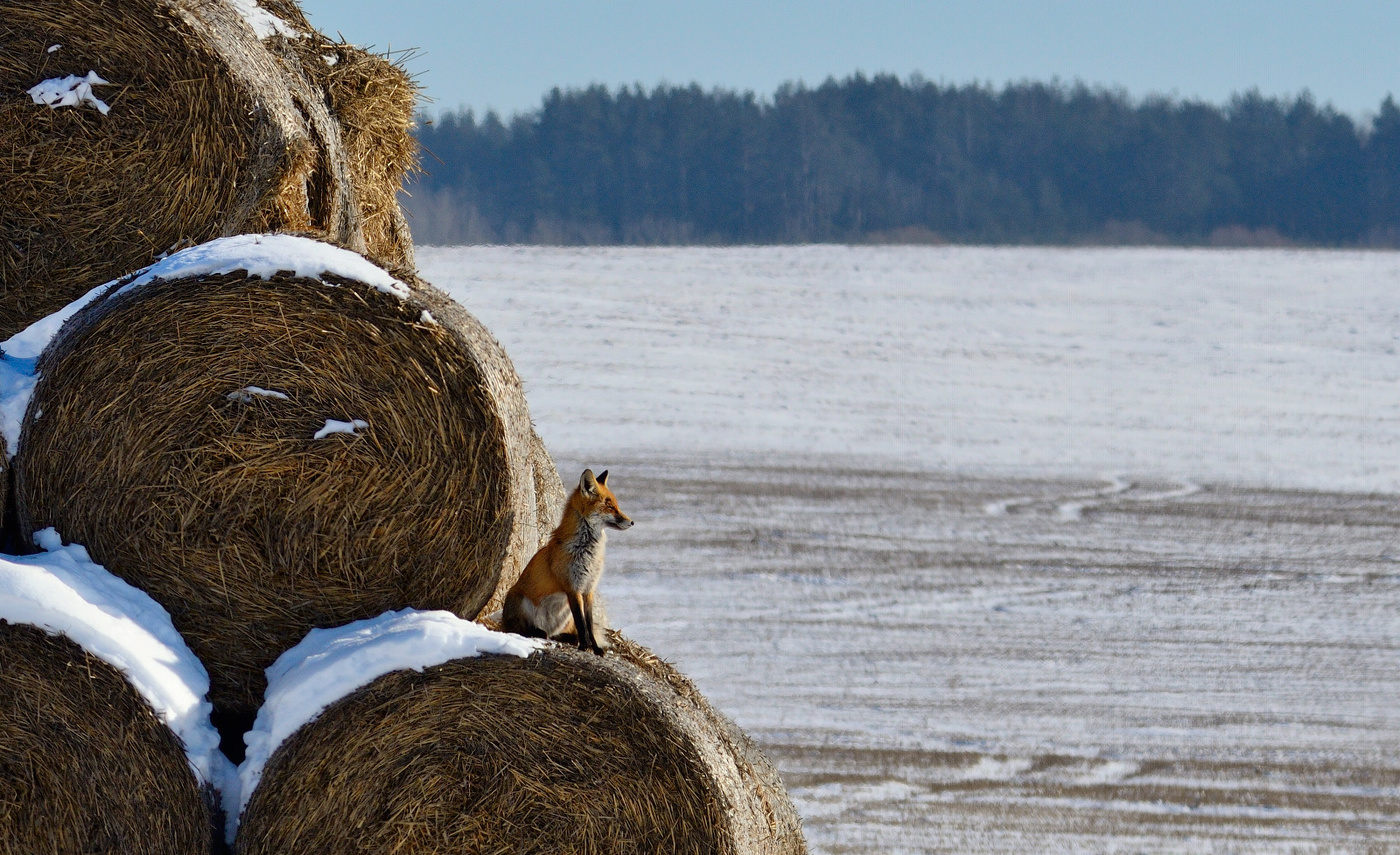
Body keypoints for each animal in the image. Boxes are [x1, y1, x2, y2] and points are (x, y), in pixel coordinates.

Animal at [504, 467, 635, 654]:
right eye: (610, 506)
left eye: (617, 505)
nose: (632, 522)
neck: (587, 552)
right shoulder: (572, 587)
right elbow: (581, 622)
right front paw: (584, 646)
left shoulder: (588, 588)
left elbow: (588, 623)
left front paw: (595, 648)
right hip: (520, 601)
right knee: (519, 630)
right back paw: (533, 632)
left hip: (563, 616)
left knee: (554, 634)